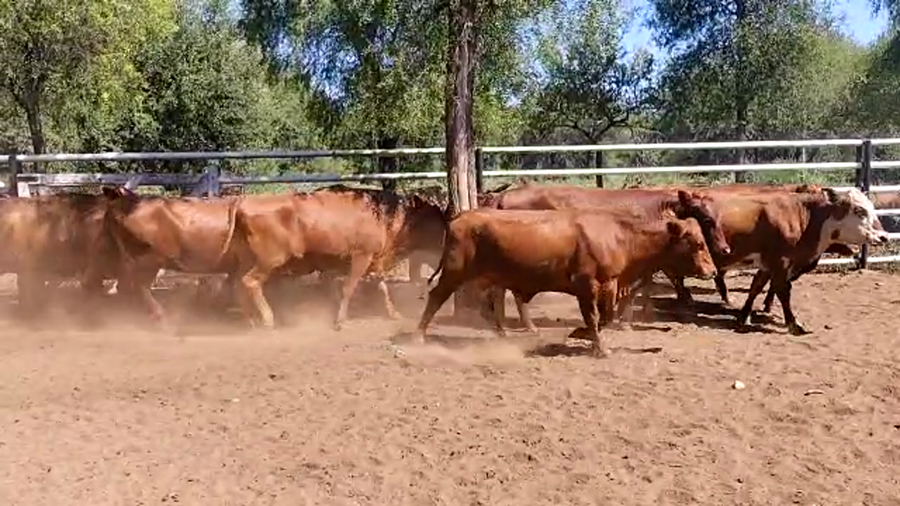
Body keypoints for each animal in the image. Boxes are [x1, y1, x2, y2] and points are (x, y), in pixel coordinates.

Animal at [233, 186, 447, 330]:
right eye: (434, 219)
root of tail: (243, 205)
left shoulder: (370, 262)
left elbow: (382, 288)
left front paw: (394, 314)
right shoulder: (361, 256)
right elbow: (348, 287)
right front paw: (340, 320)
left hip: (249, 260)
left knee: (239, 284)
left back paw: (250, 320)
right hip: (270, 260)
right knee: (250, 282)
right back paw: (267, 319)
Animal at [414, 206, 718, 358]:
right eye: (698, 243)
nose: (712, 271)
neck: (619, 235)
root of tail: (461, 217)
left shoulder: (609, 285)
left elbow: (605, 317)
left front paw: (583, 336)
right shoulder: (589, 285)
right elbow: (596, 317)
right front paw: (598, 346)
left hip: (483, 276)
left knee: (486, 303)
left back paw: (500, 333)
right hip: (455, 271)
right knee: (436, 296)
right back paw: (419, 335)